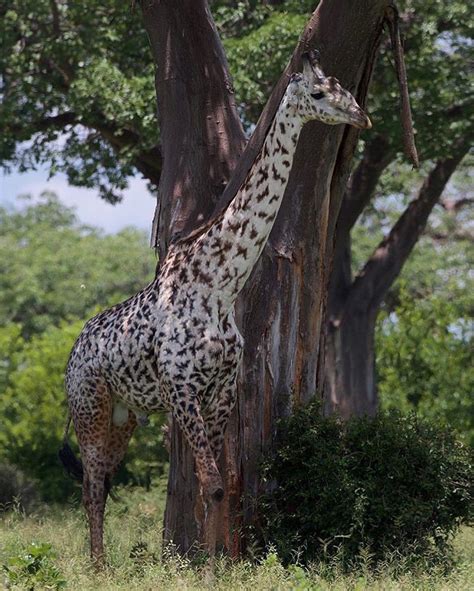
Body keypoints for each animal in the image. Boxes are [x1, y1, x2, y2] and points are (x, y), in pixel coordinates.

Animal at [59, 48, 370, 560]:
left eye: (345, 87)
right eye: (320, 92)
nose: (361, 117)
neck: (219, 288)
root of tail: (72, 352)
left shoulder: (221, 388)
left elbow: (220, 488)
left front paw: (213, 566)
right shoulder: (182, 385)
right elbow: (212, 483)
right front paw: (201, 567)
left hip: (124, 414)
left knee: (100, 482)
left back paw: (101, 565)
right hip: (90, 406)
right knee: (89, 486)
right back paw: (96, 568)